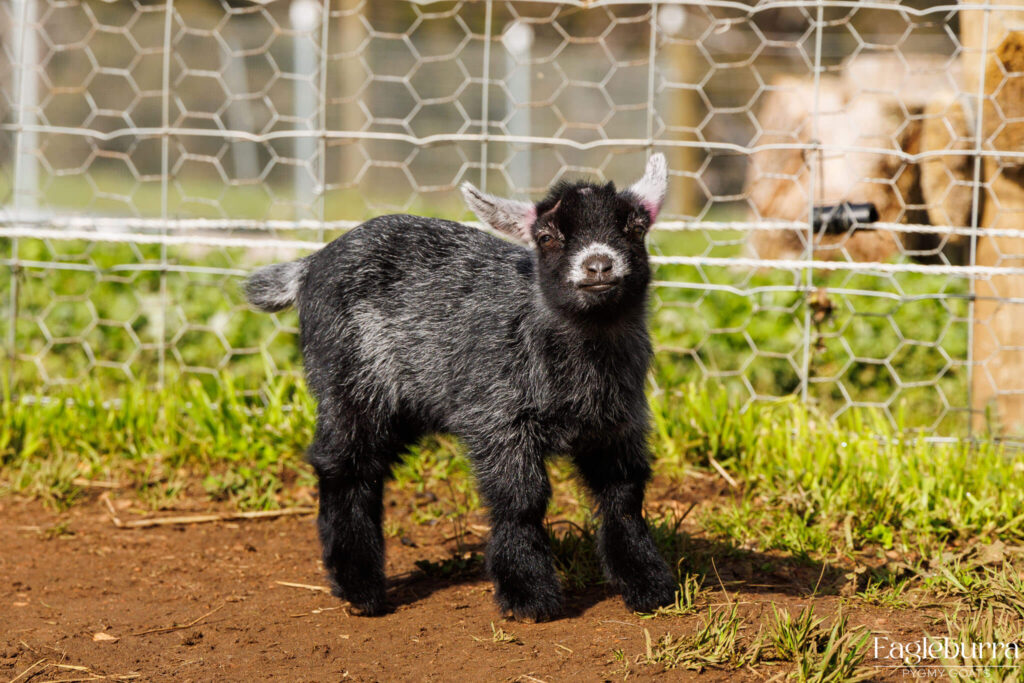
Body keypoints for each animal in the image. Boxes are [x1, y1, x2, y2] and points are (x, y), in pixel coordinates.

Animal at [245, 155, 676, 620]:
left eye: (636, 227)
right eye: (546, 237)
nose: (598, 265)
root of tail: (310, 263)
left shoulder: (619, 424)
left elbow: (624, 498)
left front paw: (648, 584)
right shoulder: (499, 420)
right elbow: (521, 501)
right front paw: (528, 594)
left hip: (408, 403)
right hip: (350, 380)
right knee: (344, 466)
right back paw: (360, 588)